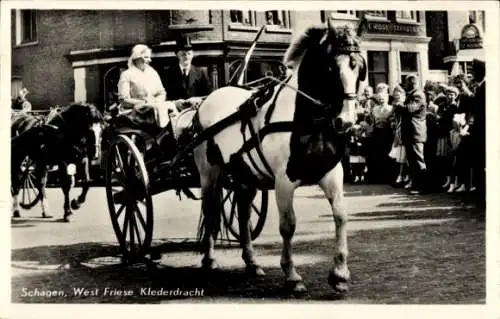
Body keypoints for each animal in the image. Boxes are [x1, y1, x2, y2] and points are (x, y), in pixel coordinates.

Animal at [191, 21, 368, 294]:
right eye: (331, 68)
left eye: (359, 67)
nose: (346, 122)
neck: (307, 120)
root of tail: (208, 98)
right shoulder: (284, 181)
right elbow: (288, 225)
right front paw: (292, 275)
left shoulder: (331, 173)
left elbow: (340, 216)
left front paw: (339, 274)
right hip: (209, 173)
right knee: (211, 211)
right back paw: (209, 261)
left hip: (245, 176)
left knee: (243, 214)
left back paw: (252, 262)